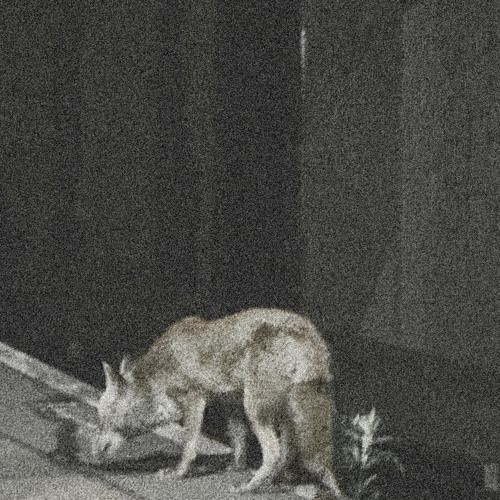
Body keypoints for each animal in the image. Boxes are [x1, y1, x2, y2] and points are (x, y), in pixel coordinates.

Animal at [94, 308, 349, 499]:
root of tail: (313, 339)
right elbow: (238, 441)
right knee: (287, 452)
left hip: (256, 409)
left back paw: (249, 487)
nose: (94, 453)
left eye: (107, 418)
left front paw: (179, 472)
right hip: (282, 412)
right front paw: (235, 467)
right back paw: (271, 481)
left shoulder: (195, 399)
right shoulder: (230, 404)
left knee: (274, 452)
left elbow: (189, 446)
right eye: (101, 420)